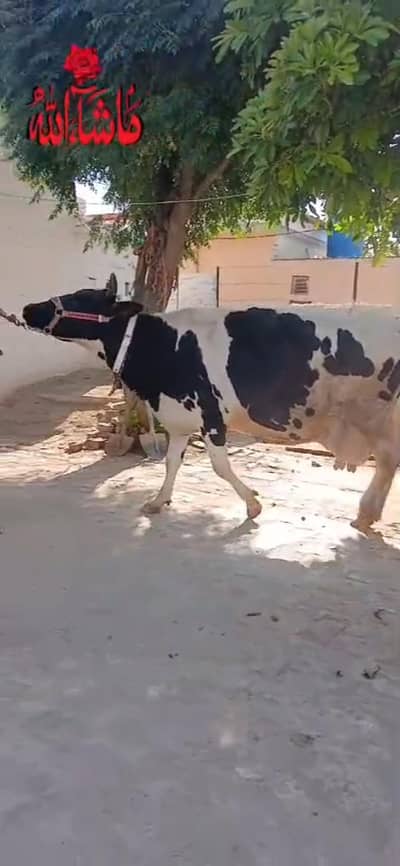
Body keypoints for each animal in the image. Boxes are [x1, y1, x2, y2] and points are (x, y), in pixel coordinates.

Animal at [22, 276, 400, 533]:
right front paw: (158, 500)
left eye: (82, 297)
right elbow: (171, 462)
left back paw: (366, 513)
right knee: (387, 461)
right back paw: (367, 514)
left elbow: (220, 467)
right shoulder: (178, 416)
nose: (28, 308)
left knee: (386, 461)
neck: (163, 347)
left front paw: (253, 505)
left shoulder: (211, 415)